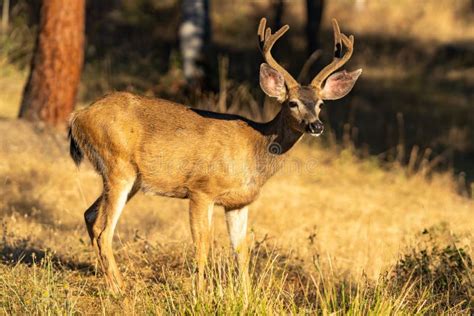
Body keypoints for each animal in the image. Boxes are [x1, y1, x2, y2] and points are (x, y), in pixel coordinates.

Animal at [68, 17, 362, 294]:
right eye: (292, 103)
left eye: (321, 104)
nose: (316, 126)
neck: (255, 149)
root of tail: (78, 116)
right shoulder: (201, 189)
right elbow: (203, 244)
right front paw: (201, 293)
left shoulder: (238, 203)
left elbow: (241, 251)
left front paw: (245, 296)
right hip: (118, 166)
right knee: (103, 229)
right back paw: (120, 288)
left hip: (132, 179)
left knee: (89, 215)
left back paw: (108, 279)